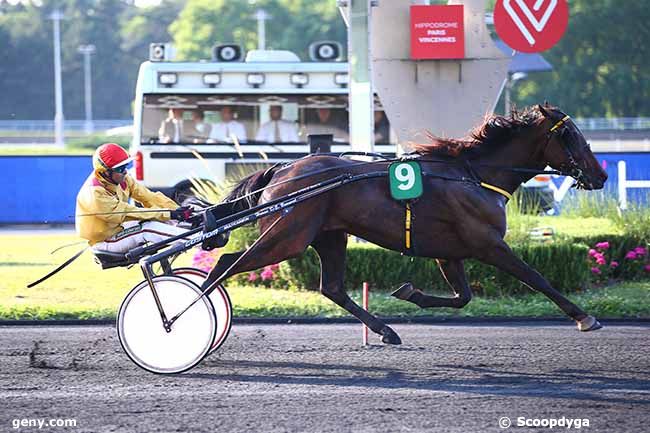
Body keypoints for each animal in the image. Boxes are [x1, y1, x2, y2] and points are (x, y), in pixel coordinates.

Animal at [199, 103, 608, 342]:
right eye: (570, 135)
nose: (601, 175)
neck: (474, 176)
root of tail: (283, 169)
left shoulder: (451, 252)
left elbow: (463, 297)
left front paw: (409, 292)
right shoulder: (488, 244)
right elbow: (537, 278)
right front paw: (585, 317)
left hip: (329, 236)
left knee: (332, 288)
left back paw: (386, 330)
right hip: (287, 237)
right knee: (225, 265)